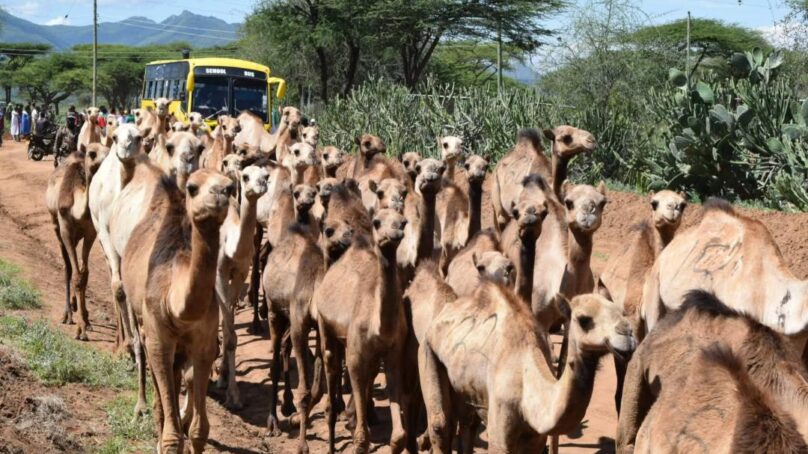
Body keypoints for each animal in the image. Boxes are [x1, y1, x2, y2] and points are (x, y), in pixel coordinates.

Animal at [46, 144, 108, 340]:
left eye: (109, 150)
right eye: (92, 153)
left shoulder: (90, 232)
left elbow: (84, 274)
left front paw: (86, 322)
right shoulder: (65, 229)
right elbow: (74, 273)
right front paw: (79, 329)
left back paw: (78, 309)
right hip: (56, 226)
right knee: (68, 267)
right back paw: (68, 313)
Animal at [121, 168, 233, 454]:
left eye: (231, 187)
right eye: (192, 187)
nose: (220, 193)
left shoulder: (205, 344)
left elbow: (199, 431)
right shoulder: (158, 339)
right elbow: (173, 435)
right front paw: (164, 440)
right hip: (141, 321)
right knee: (151, 370)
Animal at [314, 207, 410, 454]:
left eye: (404, 222)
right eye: (376, 222)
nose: (394, 233)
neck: (379, 328)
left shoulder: (394, 353)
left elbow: (399, 437)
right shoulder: (356, 357)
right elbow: (361, 441)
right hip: (324, 324)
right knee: (330, 361)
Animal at [419, 288, 635, 453]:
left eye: (622, 313)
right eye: (583, 319)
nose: (627, 335)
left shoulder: (536, 440)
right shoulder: (500, 433)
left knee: (468, 424)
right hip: (427, 350)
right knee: (440, 425)